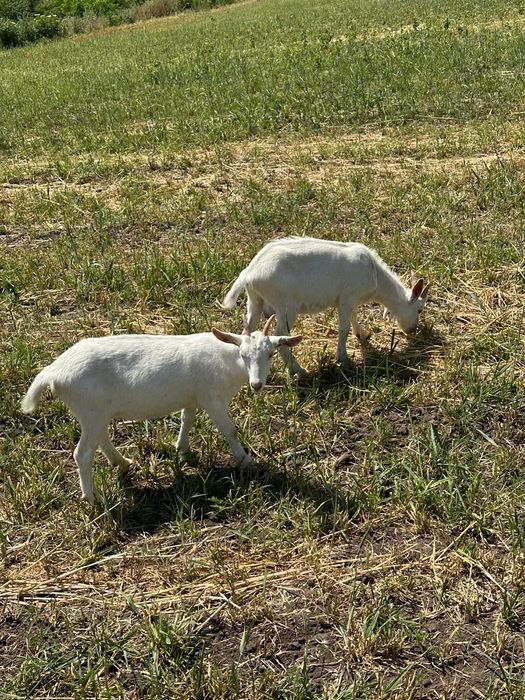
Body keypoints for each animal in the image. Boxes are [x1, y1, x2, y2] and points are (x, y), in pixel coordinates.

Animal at [21, 317, 302, 504]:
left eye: (271, 354)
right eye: (243, 354)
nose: (257, 384)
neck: (226, 361)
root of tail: (54, 371)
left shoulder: (193, 396)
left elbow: (187, 418)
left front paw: (183, 450)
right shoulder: (211, 397)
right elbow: (228, 429)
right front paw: (246, 462)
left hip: (95, 412)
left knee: (100, 438)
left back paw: (122, 463)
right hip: (90, 409)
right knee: (82, 454)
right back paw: (93, 499)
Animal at [222, 237, 429, 375]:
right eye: (419, 309)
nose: (412, 330)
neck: (376, 276)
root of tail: (249, 273)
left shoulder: (348, 299)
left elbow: (353, 316)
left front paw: (363, 334)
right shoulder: (347, 296)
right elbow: (343, 328)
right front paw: (343, 359)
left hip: (255, 300)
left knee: (247, 330)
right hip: (286, 305)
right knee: (280, 335)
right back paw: (299, 371)